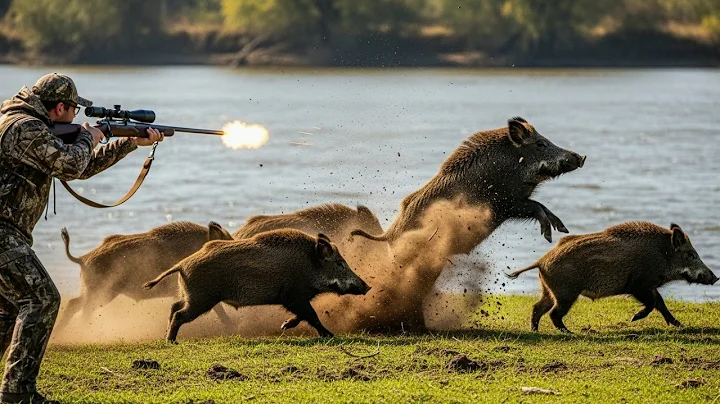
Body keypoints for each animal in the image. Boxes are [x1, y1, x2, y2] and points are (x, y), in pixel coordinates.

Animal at [56, 221, 235, 330]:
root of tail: (82, 258)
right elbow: (218, 309)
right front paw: (231, 327)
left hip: (95, 290)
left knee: (73, 303)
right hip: (103, 291)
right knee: (83, 308)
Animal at [143, 229, 371, 342]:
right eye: (340, 263)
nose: (367, 287)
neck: (309, 265)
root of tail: (182, 264)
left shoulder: (296, 299)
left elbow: (304, 315)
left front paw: (284, 326)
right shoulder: (292, 295)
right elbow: (312, 315)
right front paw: (330, 336)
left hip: (190, 295)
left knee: (174, 307)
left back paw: (167, 336)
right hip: (201, 299)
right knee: (179, 314)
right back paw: (171, 341)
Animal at [351, 117, 586, 246]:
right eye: (540, 144)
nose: (580, 157)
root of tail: (387, 234)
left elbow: (544, 207)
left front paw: (563, 230)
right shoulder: (505, 203)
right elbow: (537, 207)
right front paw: (548, 237)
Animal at [507, 222, 718, 333]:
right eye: (691, 254)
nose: (716, 278)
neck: (663, 255)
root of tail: (541, 260)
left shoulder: (649, 286)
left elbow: (661, 303)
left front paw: (679, 325)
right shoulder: (638, 285)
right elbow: (652, 303)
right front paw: (634, 319)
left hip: (549, 291)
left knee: (537, 308)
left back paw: (535, 330)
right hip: (566, 293)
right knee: (553, 313)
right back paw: (570, 332)